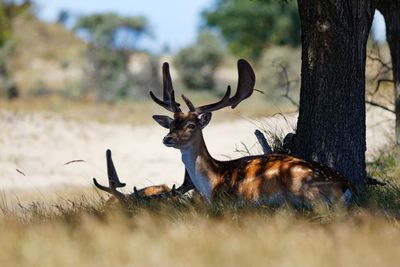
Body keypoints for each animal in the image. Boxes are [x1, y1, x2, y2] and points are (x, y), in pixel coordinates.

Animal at [151, 59, 354, 207]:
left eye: (191, 125)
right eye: (171, 124)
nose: (167, 138)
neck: (213, 179)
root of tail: (345, 185)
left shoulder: (226, 201)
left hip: (305, 190)